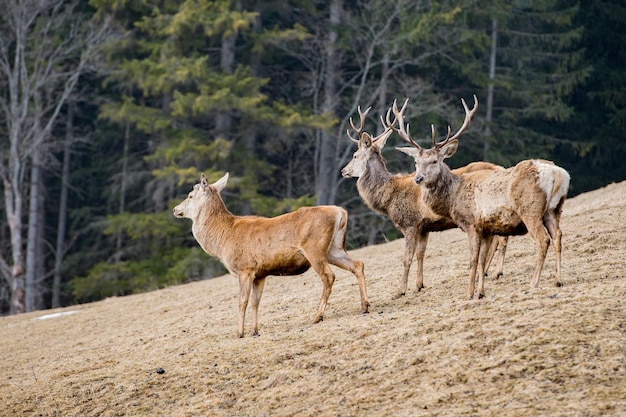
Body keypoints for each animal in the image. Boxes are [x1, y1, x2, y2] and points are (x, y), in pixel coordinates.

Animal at [173, 172, 368, 338]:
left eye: (190, 196)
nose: (175, 209)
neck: (223, 239)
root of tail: (341, 212)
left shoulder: (245, 268)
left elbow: (242, 301)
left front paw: (239, 333)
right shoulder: (260, 274)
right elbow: (256, 301)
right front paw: (254, 331)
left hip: (315, 248)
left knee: (328, 276)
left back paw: (317, 316)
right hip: (334, 249)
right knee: (358, 264)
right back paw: (365, 305)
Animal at [342, 103, 508, 300]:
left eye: (354, 155)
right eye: (415, 162)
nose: (343, 171)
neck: (388, 199)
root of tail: (501, 168)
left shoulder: (410, 223)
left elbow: (407, 258)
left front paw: (400, 291)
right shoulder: (424, 226)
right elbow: (420, 254)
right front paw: (418, 285)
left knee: (500, 240)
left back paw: (495, 272)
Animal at [392, 95, 568, 300]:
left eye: (434, 161)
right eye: (416, 162)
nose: (418, 178)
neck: (453, 197)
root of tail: (558, 174)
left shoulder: (472, 223)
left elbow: (473, 259)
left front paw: (469, 293)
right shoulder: (487, 228)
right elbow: (483, 259)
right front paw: (480, 292)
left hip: (530, 209)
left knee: (543, 240)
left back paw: (533, 283)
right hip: (553, 210)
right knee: (558, 236)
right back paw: (558, 280)